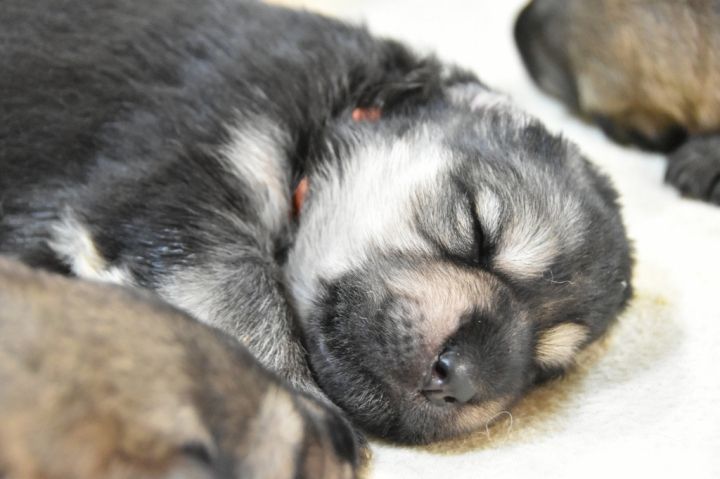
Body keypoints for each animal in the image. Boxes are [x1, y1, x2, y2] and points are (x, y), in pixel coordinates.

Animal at [0, 0, 633, 444]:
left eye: (541, 368)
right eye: (477, 231)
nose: (464, 377)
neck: (332, 109)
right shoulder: (181, 185)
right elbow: (239, 296)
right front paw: (302, 407)